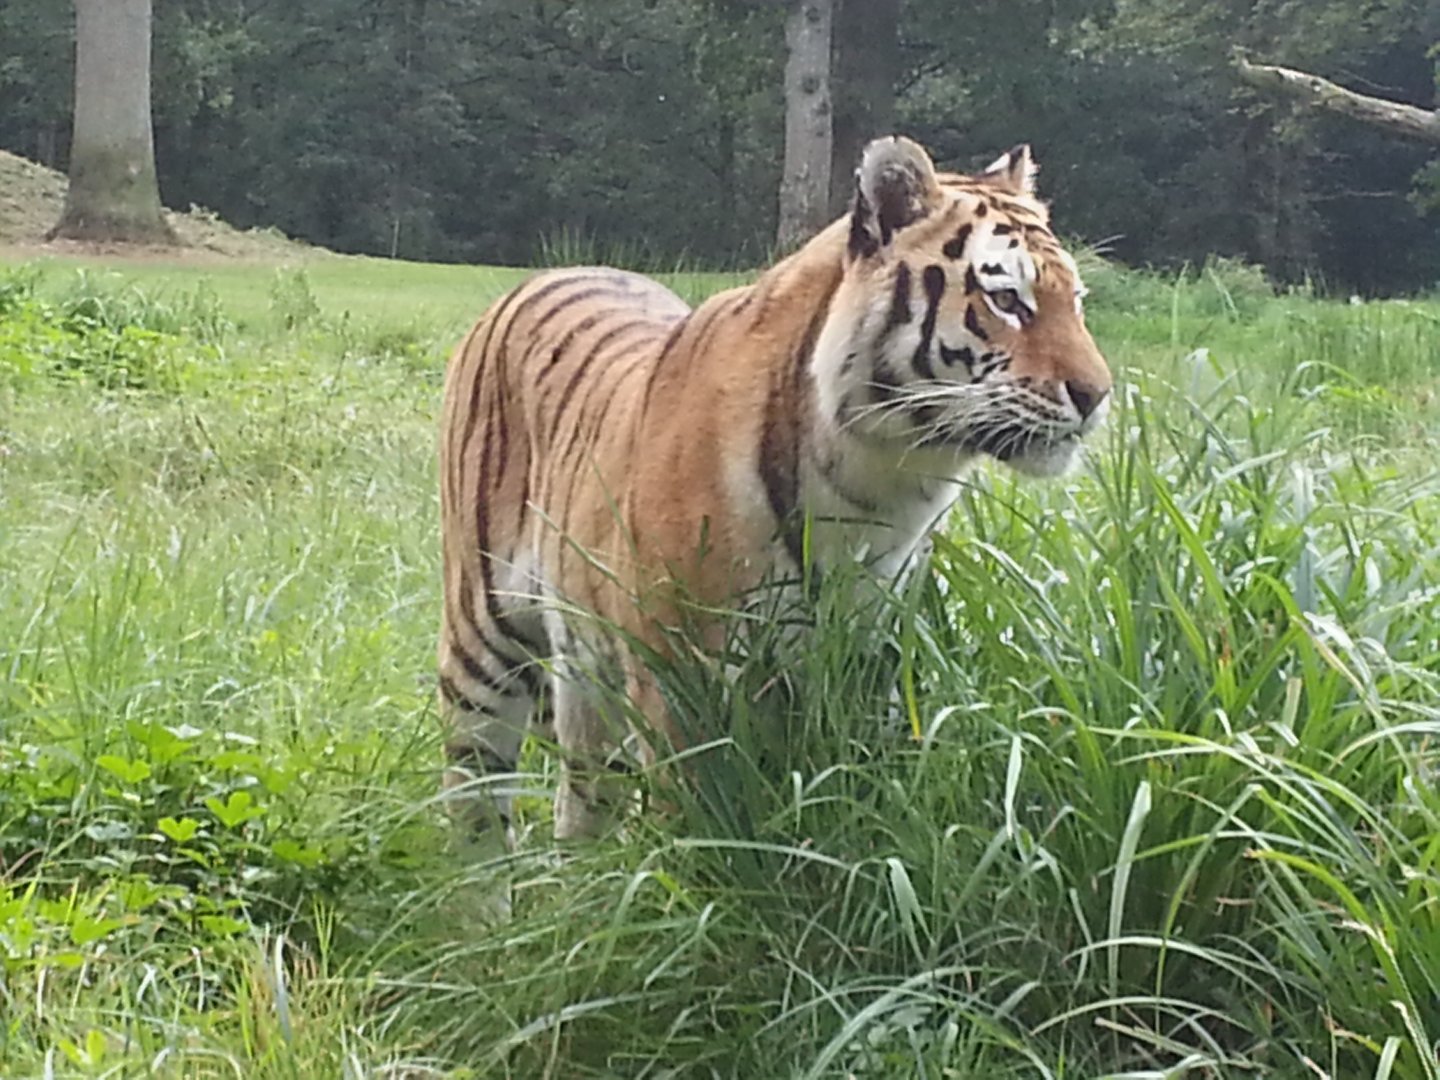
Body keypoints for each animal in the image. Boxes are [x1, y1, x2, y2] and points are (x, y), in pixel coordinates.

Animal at [437, 135, 1111, 858]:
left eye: (1076, 300)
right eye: (1007, 300)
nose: (1098, 395)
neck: (880, 484)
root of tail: (541, 276)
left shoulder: (869, 663)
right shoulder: (680, 676)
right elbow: (695, 819)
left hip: (587, 671)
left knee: (587, 794)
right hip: (483, 638)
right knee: (475, 794)